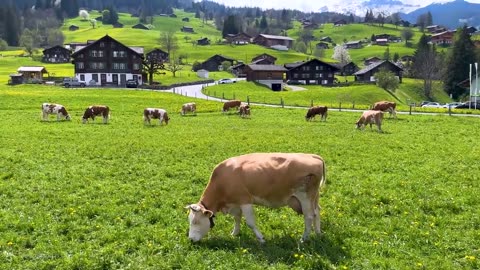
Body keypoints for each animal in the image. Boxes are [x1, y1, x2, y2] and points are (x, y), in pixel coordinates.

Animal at [185, 153, 326, 244]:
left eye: (195, 222)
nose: (191, 240)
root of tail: (314, 156)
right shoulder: (236, 203)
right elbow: (237, 218)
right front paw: (235, 233)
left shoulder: (245, 200)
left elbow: (250, 222)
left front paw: (261, 238)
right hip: (314, 197)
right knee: (317, 212)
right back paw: (318, 232)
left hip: (305, 197)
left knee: (309, 216)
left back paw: (303, 239)